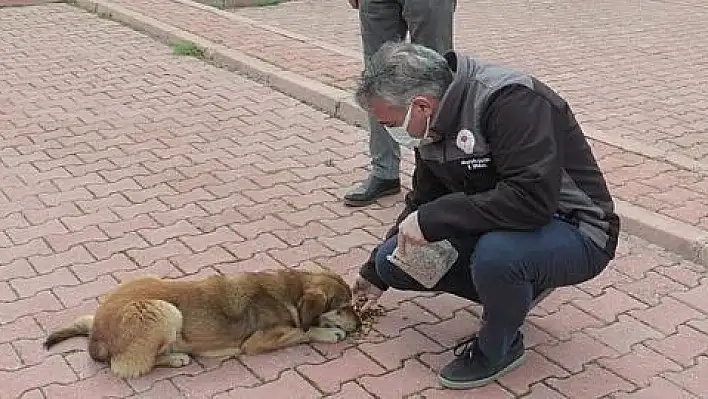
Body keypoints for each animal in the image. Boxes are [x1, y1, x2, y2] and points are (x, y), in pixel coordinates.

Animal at [43, 268, 362, 378]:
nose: (359, 325)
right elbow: (301, 332)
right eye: (344, 307)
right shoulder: (257, 342)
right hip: (164, 310)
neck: (291, 293)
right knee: (126, 366)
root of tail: (95, 333)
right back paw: (176, 358)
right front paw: (328, 332)